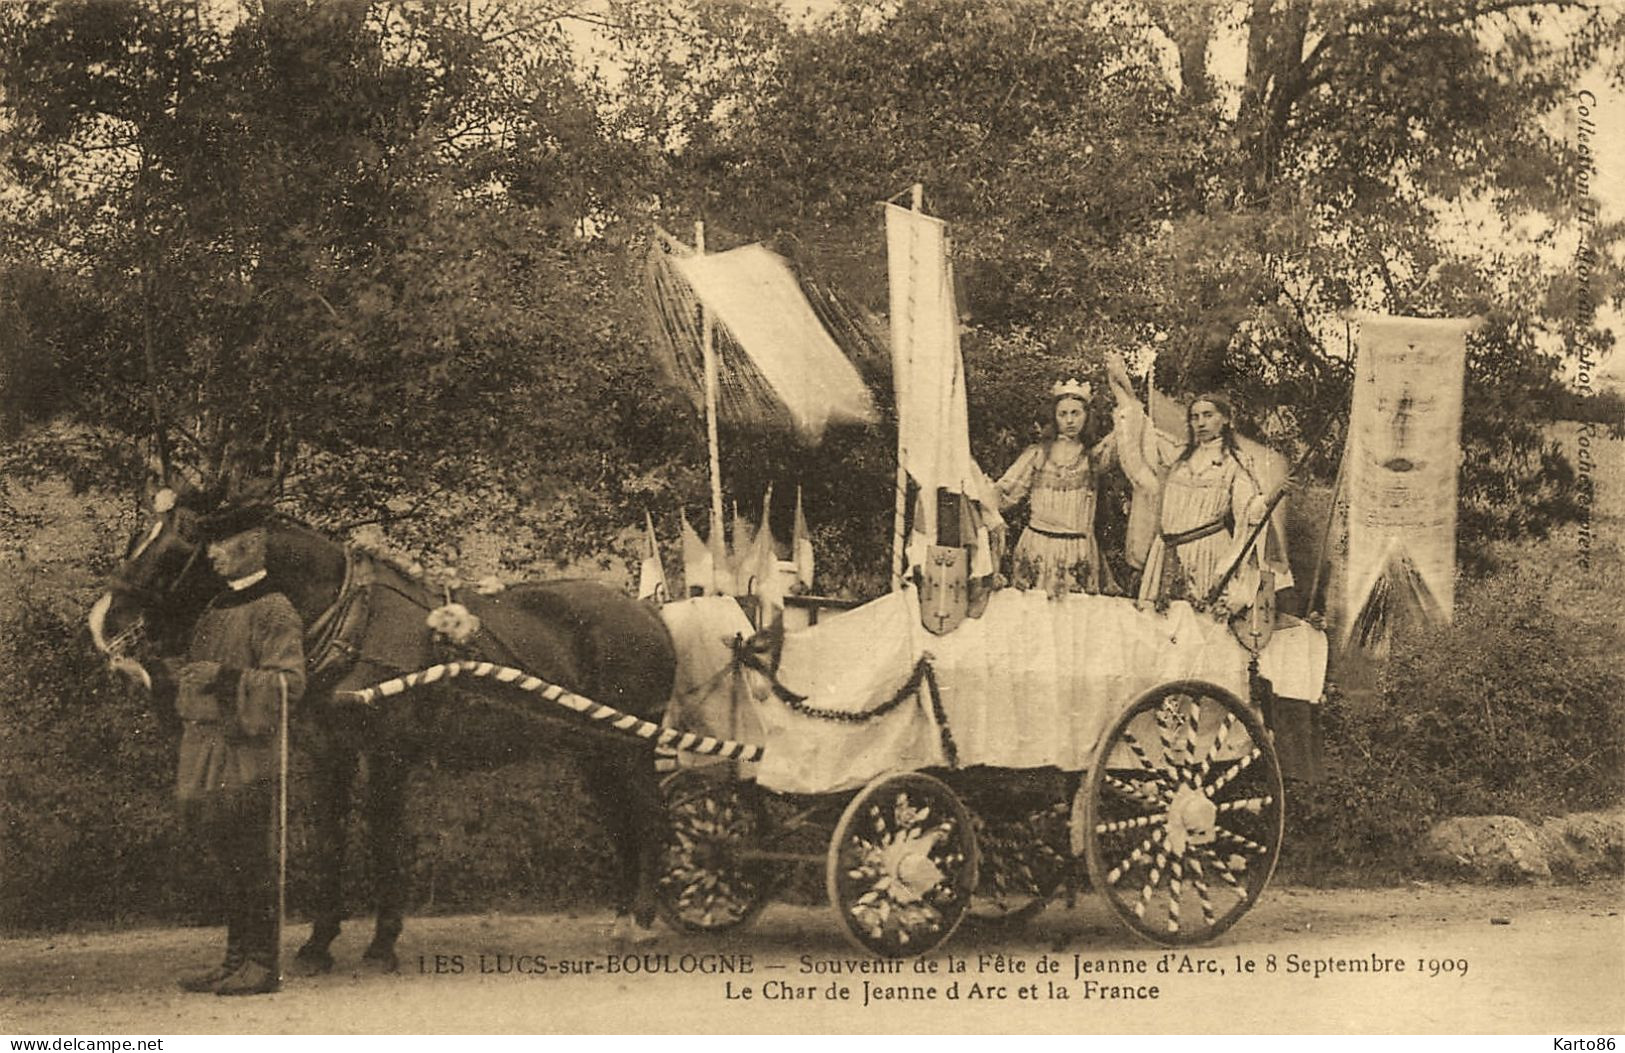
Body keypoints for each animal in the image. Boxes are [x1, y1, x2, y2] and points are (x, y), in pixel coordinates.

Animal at [90, 490, 672, 975]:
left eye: (179, 546)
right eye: (140, 537)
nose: (105, 623)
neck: (350, 618)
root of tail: (647, 612)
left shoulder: (387, 754)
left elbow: (383, 839)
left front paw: (381, 943)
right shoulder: (330, 754)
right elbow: (330, 840)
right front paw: (318, 944)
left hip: (630, 749)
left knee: (648, 817)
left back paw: (644, 920)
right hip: (595, 751)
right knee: (623, 825)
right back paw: (624, 918)